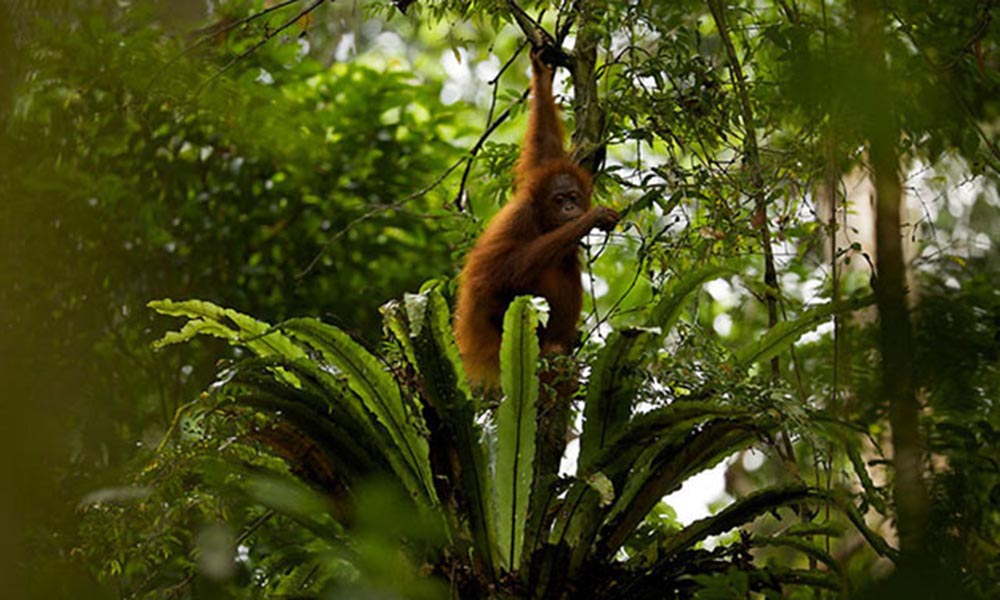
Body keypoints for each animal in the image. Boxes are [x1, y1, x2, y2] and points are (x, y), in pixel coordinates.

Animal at [453, 50, 620, 387]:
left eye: (573, 197)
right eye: (559, 201)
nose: (570, 210)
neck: (541, 218)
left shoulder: (542, 168)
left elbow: (544, 142)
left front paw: (542, 73)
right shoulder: (520, 218)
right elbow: (494, 273)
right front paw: (591, 219)